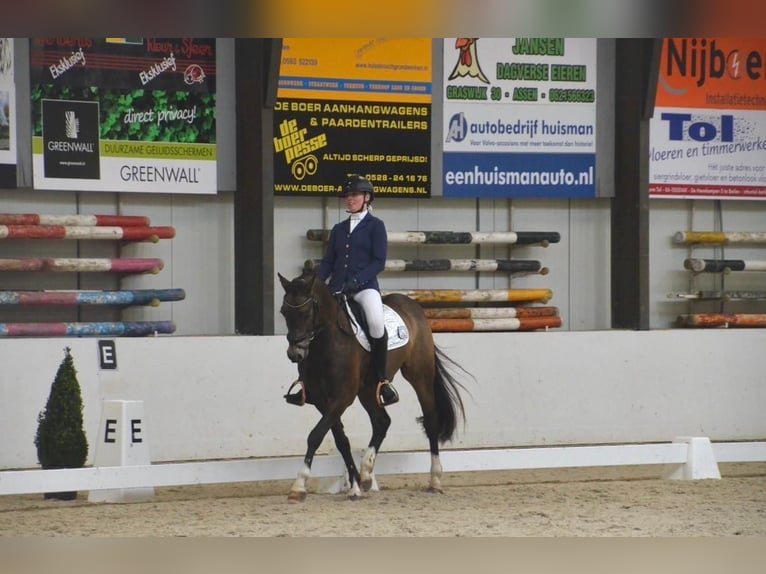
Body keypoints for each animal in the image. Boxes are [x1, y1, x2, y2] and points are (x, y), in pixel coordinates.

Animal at [278, 267, 470, 502]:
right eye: (284, 312)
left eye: (306, 314)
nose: (294, 354)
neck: (326, 344)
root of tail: (413, 306)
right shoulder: (323, 401)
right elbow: (341, 440)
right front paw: (355, 486)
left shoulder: (342, 397)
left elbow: (315, 435)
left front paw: (299, 485)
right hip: (368, 390)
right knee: (382, 422)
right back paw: (367, 473)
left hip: (419, 375)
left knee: (430, 420)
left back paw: (434, 480)